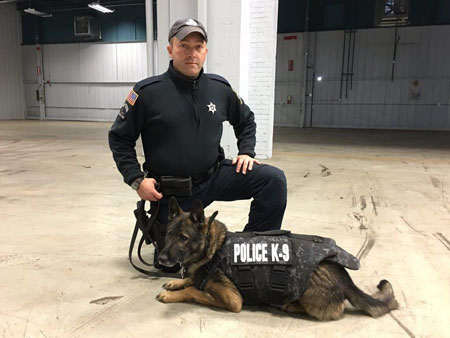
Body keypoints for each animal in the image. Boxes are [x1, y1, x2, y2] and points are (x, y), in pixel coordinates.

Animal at [157, 198, 398, 320]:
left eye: (183, 238)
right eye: (168, 234)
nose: (160, 258)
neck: (213, 248)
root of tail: (345, 277)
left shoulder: (232, 300)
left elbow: (194, 290)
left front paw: (173, 294)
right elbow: (192, 280)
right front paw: (176, 282)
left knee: (334, 310)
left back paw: (290, 305)